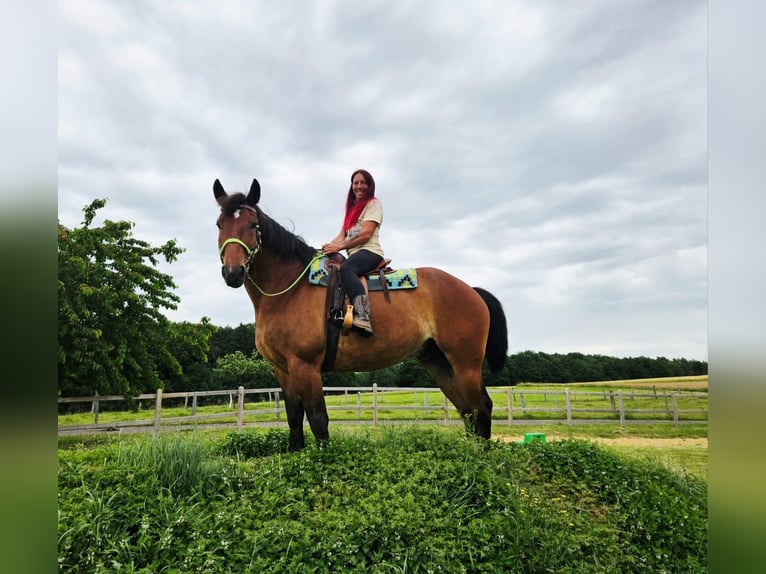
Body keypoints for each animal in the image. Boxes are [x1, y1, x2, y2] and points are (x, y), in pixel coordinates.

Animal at [213, 178, 509, 451]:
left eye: (253, 225)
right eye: (219, 224)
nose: (233, 272)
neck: (289, 290)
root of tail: (471, 290)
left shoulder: (306, 366)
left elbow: (318, 419)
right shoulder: (282, 369)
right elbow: (294, 417)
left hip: (465, 363)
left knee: (482, 407)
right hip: (438, 361)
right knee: (467, 409)